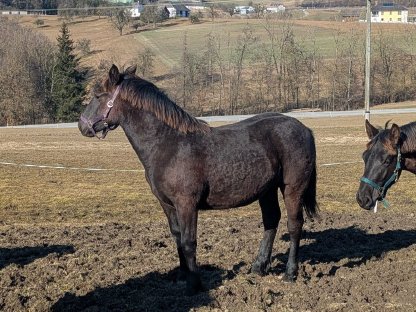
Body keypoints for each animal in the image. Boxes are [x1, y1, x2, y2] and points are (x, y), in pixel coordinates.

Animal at [79, 64, 318, 294]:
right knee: (271, 221)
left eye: (98, 95)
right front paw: (182, 276)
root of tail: (304, 128)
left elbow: (188, 242)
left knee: (294, 225)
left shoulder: (187, 203)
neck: (168, 144)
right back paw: (258, 267)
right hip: (266, 190)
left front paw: (194, 285)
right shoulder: (167, 204)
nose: (82, 126)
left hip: (293, 188)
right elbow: (177, 238)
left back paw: (290, 273)